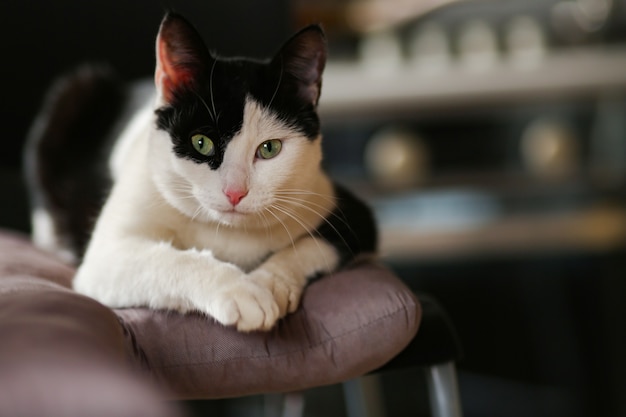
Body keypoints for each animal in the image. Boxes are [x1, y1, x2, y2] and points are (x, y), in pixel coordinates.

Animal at [24, 12, 376, 332]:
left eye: (269, 148)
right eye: (201, 143)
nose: (235, 192)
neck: (229, 234)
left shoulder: (351, 213)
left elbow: (305, 247)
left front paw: (270, 285)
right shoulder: (105, 258)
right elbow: (168, 260)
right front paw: (241, 291)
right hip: (75, 93)